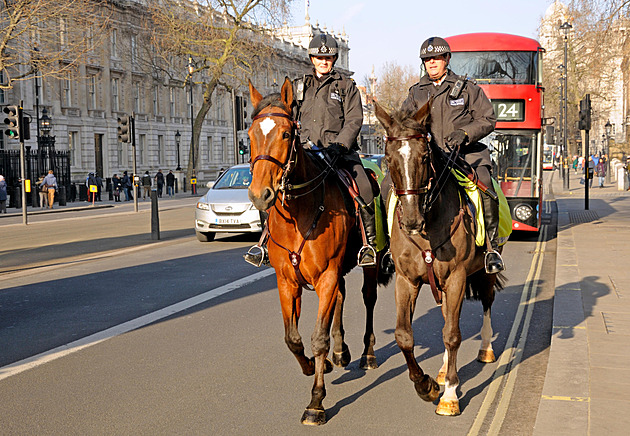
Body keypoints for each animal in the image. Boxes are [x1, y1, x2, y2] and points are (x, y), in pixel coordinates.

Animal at [248, 78, 392, 426]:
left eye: (287, 134)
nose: (260, 195)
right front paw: (315, 365)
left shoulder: (325, 275)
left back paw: (367, 354)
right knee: (340, 297)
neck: (299, 213)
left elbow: (317, 338)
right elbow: (293, 339)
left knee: (367, 298)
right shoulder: (287, 281)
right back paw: (340, 352)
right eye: (250, 134)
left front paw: (316, 401)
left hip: (366, 264)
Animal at [376, 101, 508, 416]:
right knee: (449, 315)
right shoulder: (407, 280)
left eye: (424, 157)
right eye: (387, 158)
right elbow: (404, 335)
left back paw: (485, 349)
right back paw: (442, 370)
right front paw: (426, 386)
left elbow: (452, 335)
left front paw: (449, 394)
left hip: (483, 273)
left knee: (485, 302)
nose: (411, 219)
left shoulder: (458, 276)